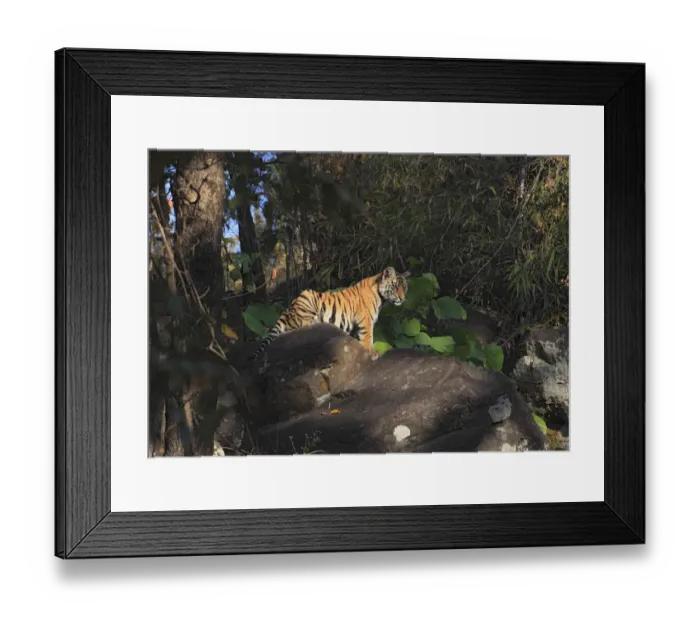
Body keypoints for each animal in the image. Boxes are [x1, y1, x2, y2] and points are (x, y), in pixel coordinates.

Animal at [250, 267, 410, 363]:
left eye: (405, 288)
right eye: (395, 286)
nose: (402, 299)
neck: (381, 297)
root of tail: (289, 307)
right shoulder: (366, 321)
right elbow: (368, 338)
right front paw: (373, 353)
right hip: (308, 297)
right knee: (298, 325)